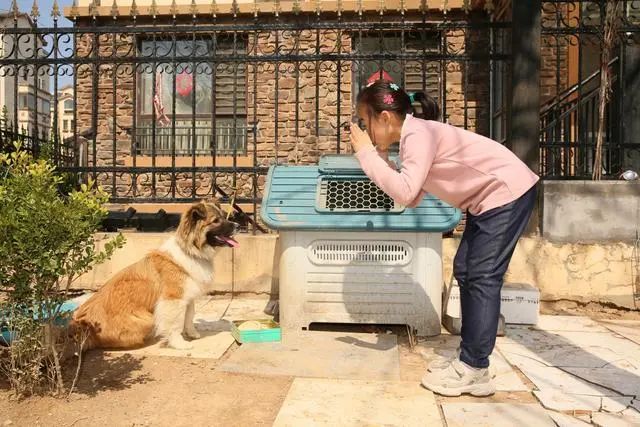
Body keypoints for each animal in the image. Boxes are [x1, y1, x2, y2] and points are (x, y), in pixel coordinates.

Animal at [70, 201, 239, 352]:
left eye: (224, 216)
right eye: (216, 221)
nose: (237, 225)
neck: (190, 251)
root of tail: (84, 324)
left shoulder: (188, 297)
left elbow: (189, 317)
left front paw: (192, 334)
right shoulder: (173, 299)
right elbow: (176, 324)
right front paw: (179, 344)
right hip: (147, 320)